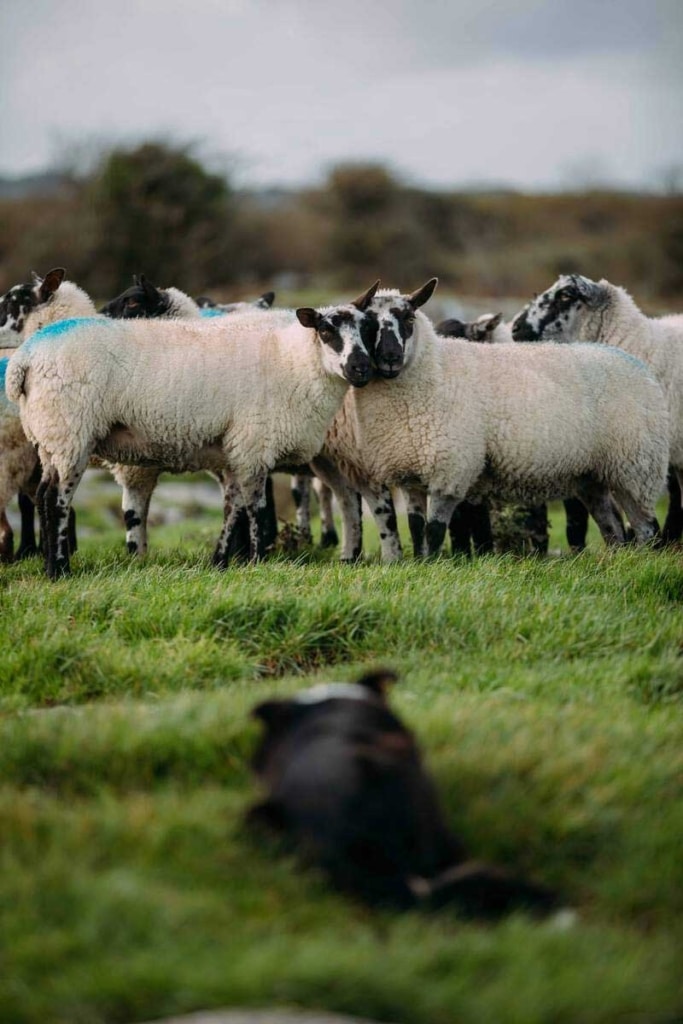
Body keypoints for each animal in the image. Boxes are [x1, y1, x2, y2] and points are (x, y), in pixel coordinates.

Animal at [6, 282, 378, 577]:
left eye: (368, 330)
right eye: (327, 332)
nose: (362, 368)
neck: (292, 360)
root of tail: (26, 358)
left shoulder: (235, 450)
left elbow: (233, 508)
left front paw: (222, 563)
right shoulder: (254, 445)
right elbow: (256, 510)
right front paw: (257, 562)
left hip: (50, 438)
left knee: (42, 495)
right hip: (70, 432)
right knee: (55, 499)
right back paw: (59, 571)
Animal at [315, 278, 667, 561]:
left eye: (410, 318)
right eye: (369, 325)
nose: (390, 358)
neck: (433, 371)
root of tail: (638, 367)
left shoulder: (451, 468)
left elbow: (435, 529)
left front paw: (432, 564)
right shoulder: (408, 471)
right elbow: (416, 528)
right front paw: (418, 562)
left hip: (635, 466)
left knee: (647, 526)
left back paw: (642, 563)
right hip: (592, 475)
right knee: (613, 527)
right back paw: (617, 561)